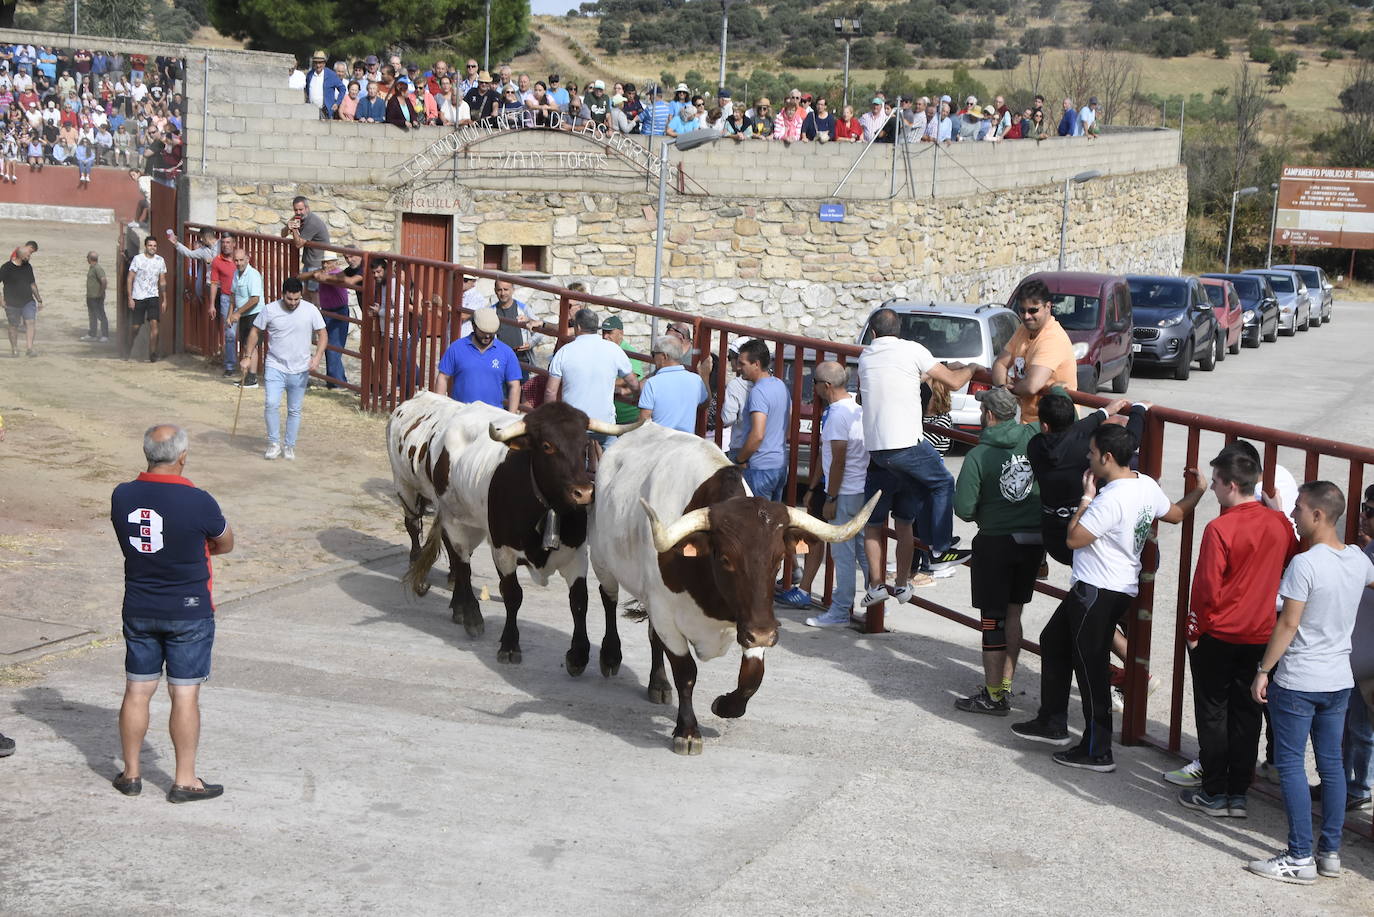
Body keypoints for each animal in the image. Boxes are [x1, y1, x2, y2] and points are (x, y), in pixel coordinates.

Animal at [390, 390, 640, 673]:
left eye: (584, 445)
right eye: (547, 446)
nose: (584, 493)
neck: (546, 506)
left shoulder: (575, 555)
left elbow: (579, 600)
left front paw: (577, 655)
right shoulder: (503, 551)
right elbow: (512, 595)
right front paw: (509, 645)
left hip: (471, 524)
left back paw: (458, 606)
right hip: (439, 508)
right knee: (459, 561)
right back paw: (469, 613)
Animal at [588, 423, 868, 753]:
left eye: (779, 560)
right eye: (725, 559)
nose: (765, 634)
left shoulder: (750, 620)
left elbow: (752, 676)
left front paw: (725, 705)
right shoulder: (668, 616)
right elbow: (686, 673)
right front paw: (687, 731)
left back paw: (658, 683)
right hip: (602, 560)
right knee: (608, 599)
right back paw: (610, 656)